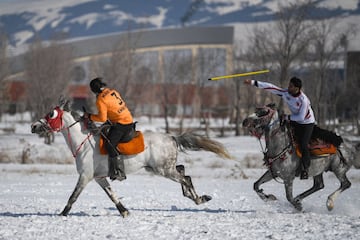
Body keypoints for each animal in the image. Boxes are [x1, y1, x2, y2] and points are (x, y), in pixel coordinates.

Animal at [29, 97, 229, 218]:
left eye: (51, 114)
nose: (33, 126)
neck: (84, 143)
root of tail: (172, 137)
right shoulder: (99, 177)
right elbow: (112, 195)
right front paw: (124, 212)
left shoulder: (85, 176)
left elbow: (73, 196)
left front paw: (63, 214)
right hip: (164, 168)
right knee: (182, 170)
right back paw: (194, 196)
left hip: (164, 170)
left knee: (185, 177)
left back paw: (198, 198)